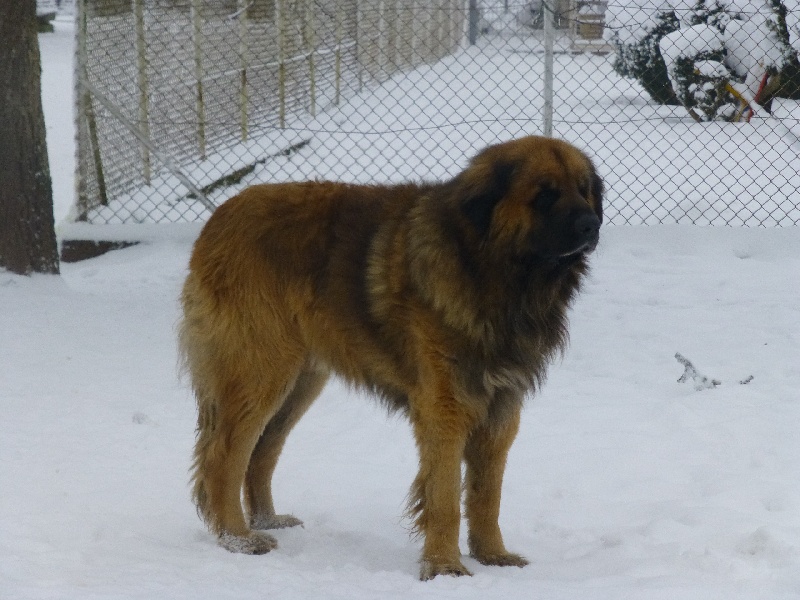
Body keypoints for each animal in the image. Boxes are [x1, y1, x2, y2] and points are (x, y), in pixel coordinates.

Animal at [178, 135, 604, 576]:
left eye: (584, 189)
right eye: (545, 195)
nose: (592, 225)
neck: (489, 270)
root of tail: (219, 216)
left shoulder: (501, 407)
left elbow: (487, 494)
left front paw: (493, 556)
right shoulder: (445, 407)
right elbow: (445, 496)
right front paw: (445, 567)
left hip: (300, 381)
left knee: (262, 452)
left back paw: (266, 520)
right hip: (261, 369)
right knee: (224, 456)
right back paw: (238, 538)